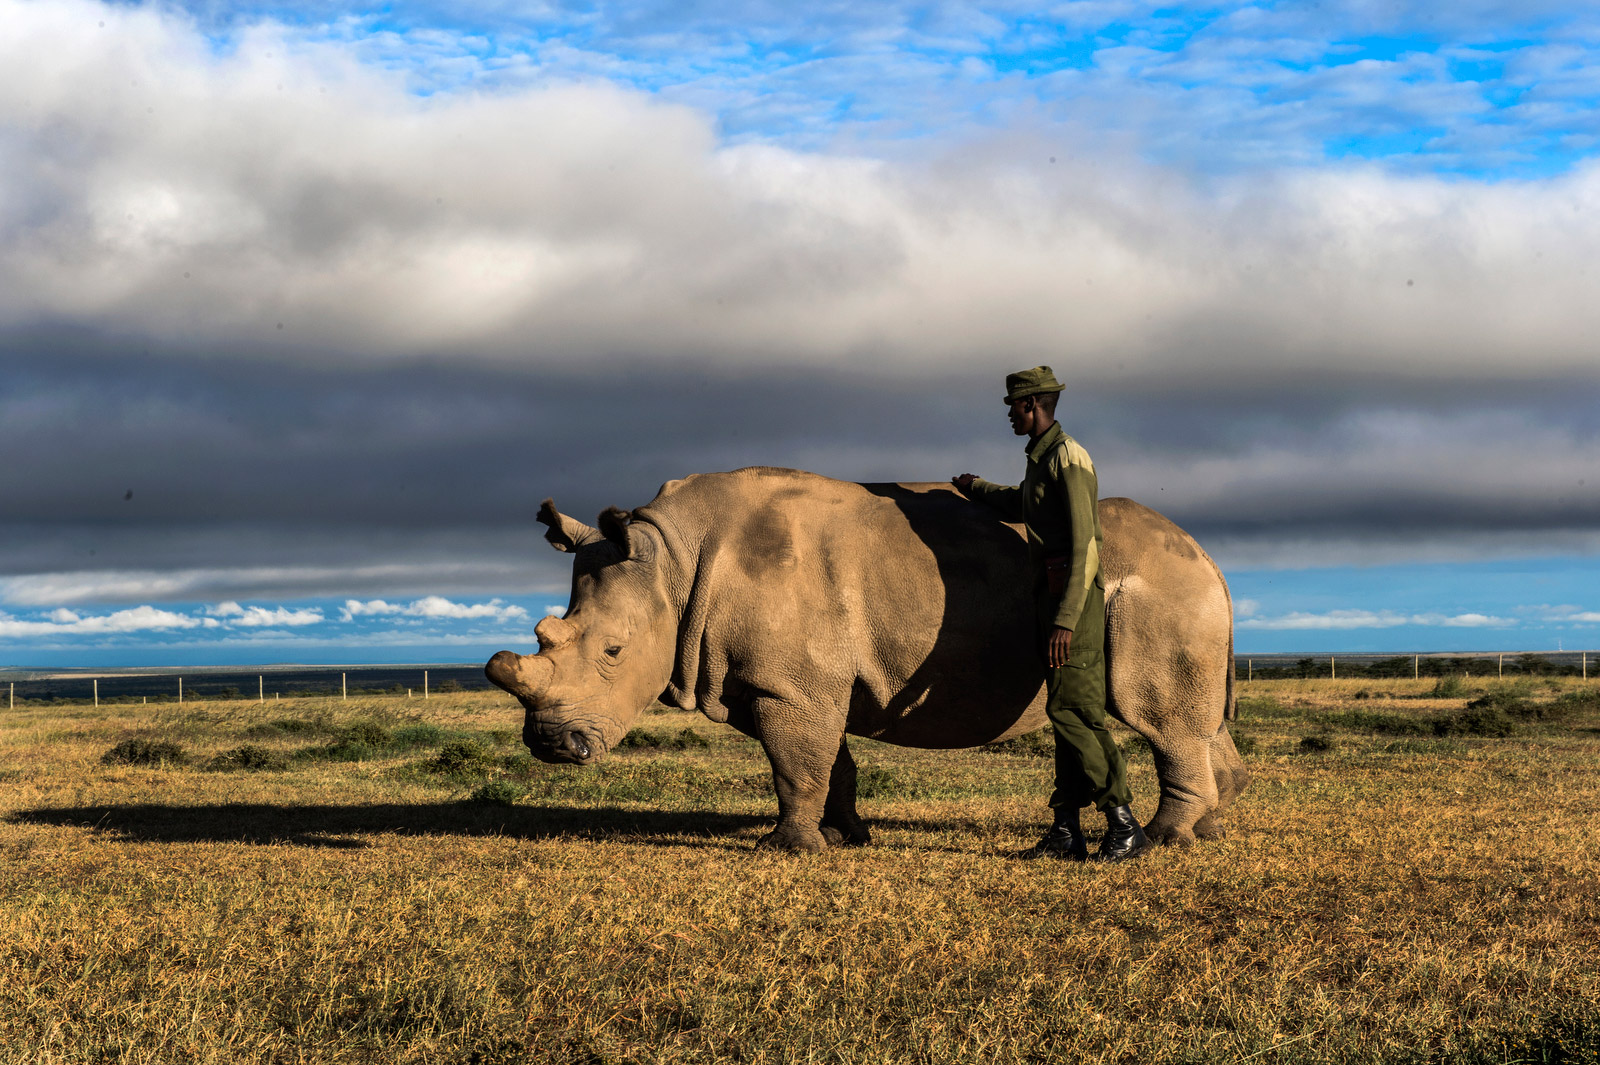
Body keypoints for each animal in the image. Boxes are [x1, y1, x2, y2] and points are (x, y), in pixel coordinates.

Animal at [486, 467, 1247, 851]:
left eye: (613, 652)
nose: (550, 745)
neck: (670, 561)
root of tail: (1208, 556)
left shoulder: (789, 685)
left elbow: (795, 764)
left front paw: (788, 848)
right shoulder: (784, 681)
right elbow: (829, 764)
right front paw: (845, 834)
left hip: (1156, 592)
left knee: (1161, 719)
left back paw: (1162, 838)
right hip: (1173, 588)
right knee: (1200, 718)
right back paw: (1206, 830)